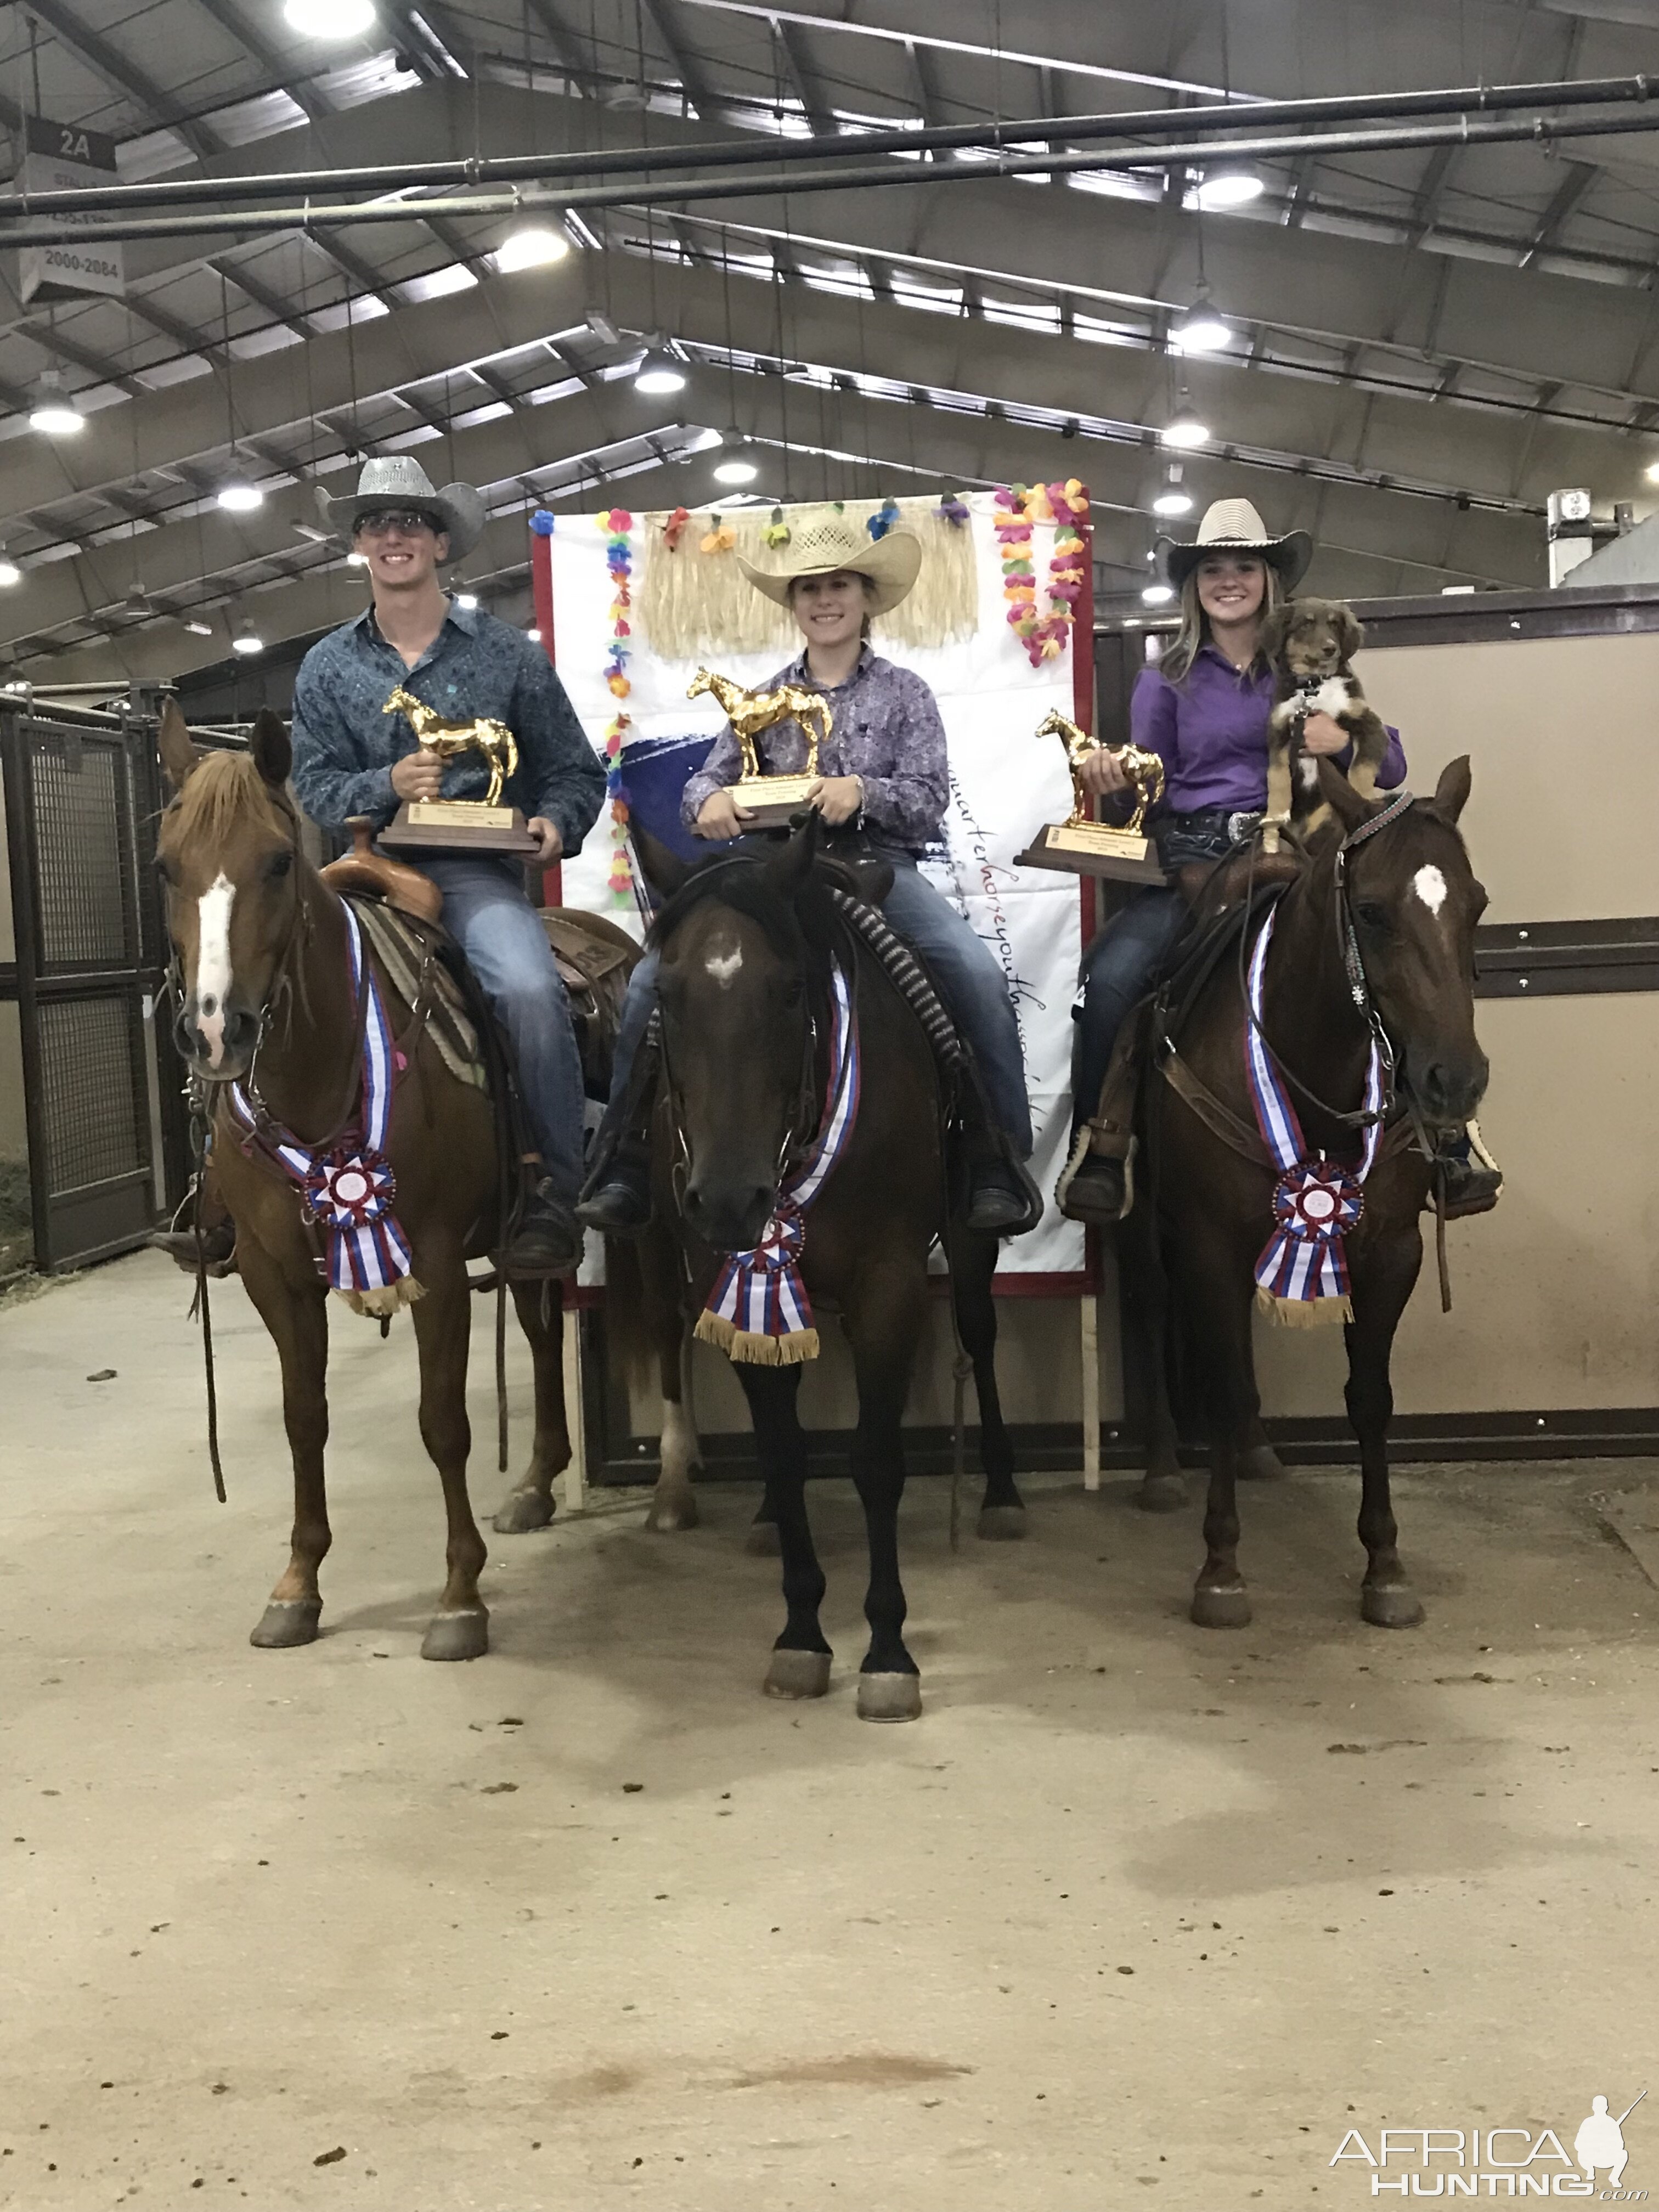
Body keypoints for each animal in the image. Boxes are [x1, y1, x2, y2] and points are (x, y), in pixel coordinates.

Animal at [156, 708, 571, 1663]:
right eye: (164, 866)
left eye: (278, 861)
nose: (217, 1031)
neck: (324, 1067)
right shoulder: (272, 1273)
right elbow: (304, 1416)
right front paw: (298, 1585)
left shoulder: (439, 1267)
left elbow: (443, 1423)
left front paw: (460, 1597)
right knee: (539, 1330)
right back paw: (536, 1483)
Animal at [637, 822, 1026, 1716]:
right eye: (666, 995)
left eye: (789, 991)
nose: (727, 1198)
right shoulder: (735, 1283)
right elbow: (784, 1454)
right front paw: (801, 1637)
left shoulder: (890, 1283)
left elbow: (876, 1462)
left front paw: (886, 1652)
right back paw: (764, 1519)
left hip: (969, 1246)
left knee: (981, 1339)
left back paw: (1000, 1492)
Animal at [1141, 761, 1486, 1628]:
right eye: (1371, 911)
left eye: (1477, 904)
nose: (1456, 1079)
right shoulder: (1207, 1238)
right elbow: (1221, 1384)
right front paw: (1221, 1569)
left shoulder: (1391, 1247)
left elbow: (1370, 1397)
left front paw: (1386, 1567)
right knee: (1155, 1309)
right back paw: (1160, 1470)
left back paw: (1258, 1451)